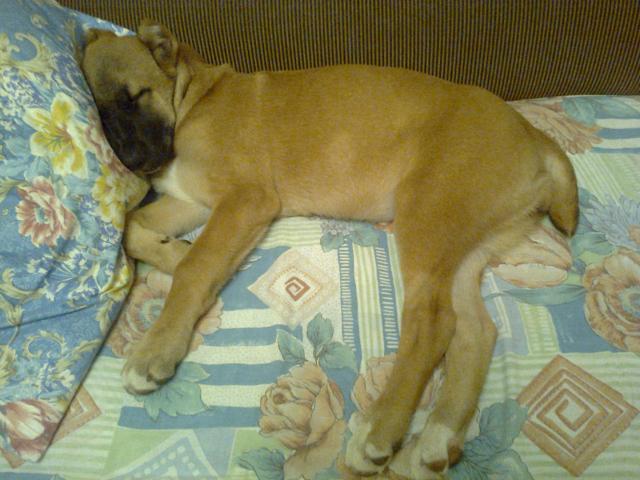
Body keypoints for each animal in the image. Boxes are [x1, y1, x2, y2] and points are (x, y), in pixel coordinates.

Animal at [81, 20, 578, 479]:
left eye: (136, 96)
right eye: (100, 113)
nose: (132, 162)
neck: (193, 99)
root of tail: (534, 134)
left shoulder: (245, 200)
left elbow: (195, 269)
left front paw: (155, 350)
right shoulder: (193, 201)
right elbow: (133, 228)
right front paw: (174, 251)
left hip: (427, 218)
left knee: (433, 322)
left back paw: (379, 433)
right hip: (463, 244)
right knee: (476, 331)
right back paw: (436, 439)